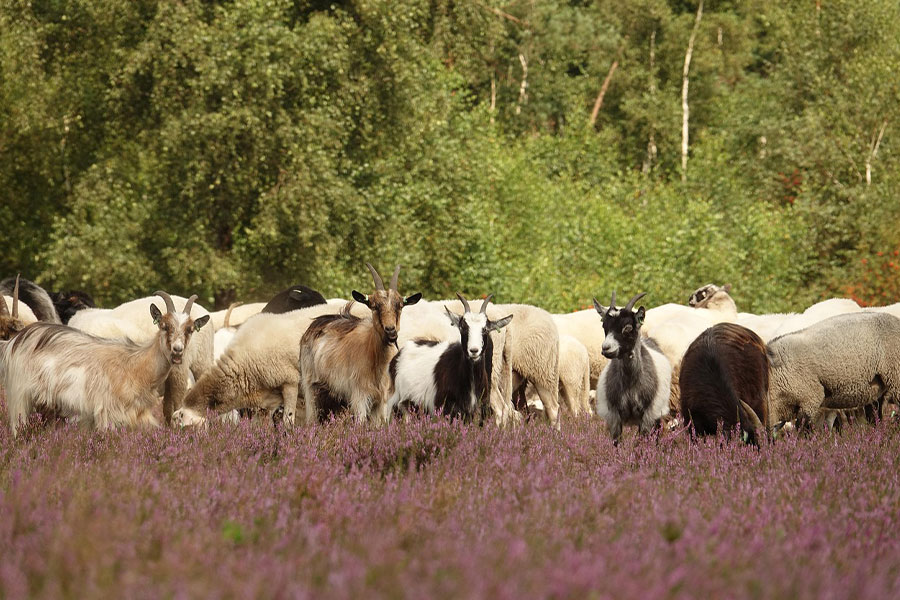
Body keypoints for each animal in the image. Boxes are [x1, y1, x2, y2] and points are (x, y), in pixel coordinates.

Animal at [0, 291, 209, 436]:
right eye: (164, 326)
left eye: (190, 329)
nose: (177, 350)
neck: (135, 365)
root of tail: (15, 341)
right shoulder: (107, 413)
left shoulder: (137, 416)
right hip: (21, 397)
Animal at [301, 263, 421, 425]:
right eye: (374, 306)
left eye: (400, 306)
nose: (391, 331)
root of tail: (315, 323)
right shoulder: (359, 396)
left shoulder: (381, 400)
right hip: (310, 387)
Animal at [593, 292, 672, 444]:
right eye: (604, 326)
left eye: (628, 328)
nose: (606, 348)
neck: (630, 382)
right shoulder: (614, 416)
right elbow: (616, 442)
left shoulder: (647, 416)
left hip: (657, 413)